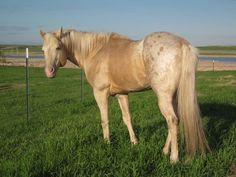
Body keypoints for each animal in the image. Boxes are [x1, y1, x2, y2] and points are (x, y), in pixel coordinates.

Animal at [40, 27, 208, 163]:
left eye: (58, 47)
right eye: (43, 50)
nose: (49, 72)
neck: (94, 51)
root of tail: (182, 43)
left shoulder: (100, 93)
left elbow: (105, 120)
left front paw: (107, 143)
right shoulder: (121, 94)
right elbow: (127, 118)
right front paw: (134, 142)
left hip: (163, 98)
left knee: (172, 121)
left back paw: (173, 158)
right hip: (173, 96)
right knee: (175, 120)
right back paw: (165, 150)